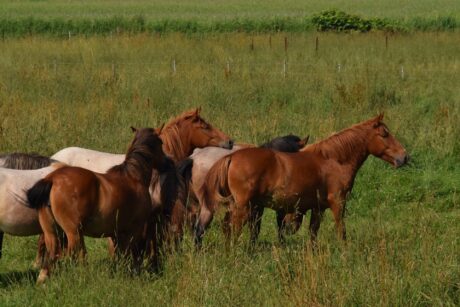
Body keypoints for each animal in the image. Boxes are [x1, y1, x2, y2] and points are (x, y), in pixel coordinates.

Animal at [27, 128, 168, 284]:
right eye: (161, 142)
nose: (167, 163)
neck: (133, 178)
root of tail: (52, 179)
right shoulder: (134, 230)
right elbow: (132, 255)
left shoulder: (117, 233)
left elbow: (119, 255)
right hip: (73, 233)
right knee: (70, 256)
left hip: (51, 232)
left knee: (54, 255)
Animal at [193, 115, 406, 248]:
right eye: (385, 134)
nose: (404, 157)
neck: (333, 160)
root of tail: (231, 157)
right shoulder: (338, 203)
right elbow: (341, 230)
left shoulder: (318, 208)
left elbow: (313, 232)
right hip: (244, 206)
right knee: (233, 228)